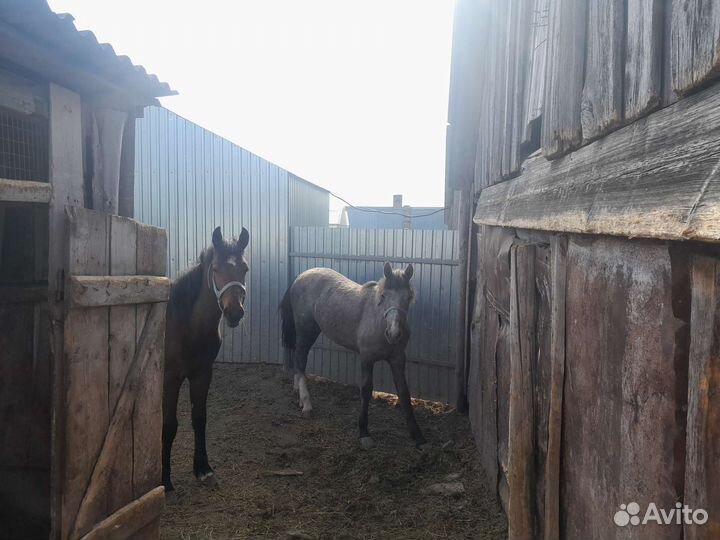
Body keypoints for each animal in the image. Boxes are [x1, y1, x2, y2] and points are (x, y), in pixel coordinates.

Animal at [162, 226, 250, 492]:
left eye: (244, 268)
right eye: (216, 269)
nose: (234, 313)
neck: (187, 326)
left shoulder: (202, 374)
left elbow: (199, 419)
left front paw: (203, 469)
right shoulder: (170, 380)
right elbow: (169, 426)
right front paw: (165, 480)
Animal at [279, 262, 428, 449]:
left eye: (408, 297)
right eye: (384, 296)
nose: (394, 334)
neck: (378, 320)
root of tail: (300, 277)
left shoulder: (398, 359)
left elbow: (404, 393)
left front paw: (418, 436)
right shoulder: (366, 358)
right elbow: (366, 390)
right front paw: (364, 432)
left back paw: (298, 394)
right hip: (306, 330)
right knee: (300, 360)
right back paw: (306, 404)